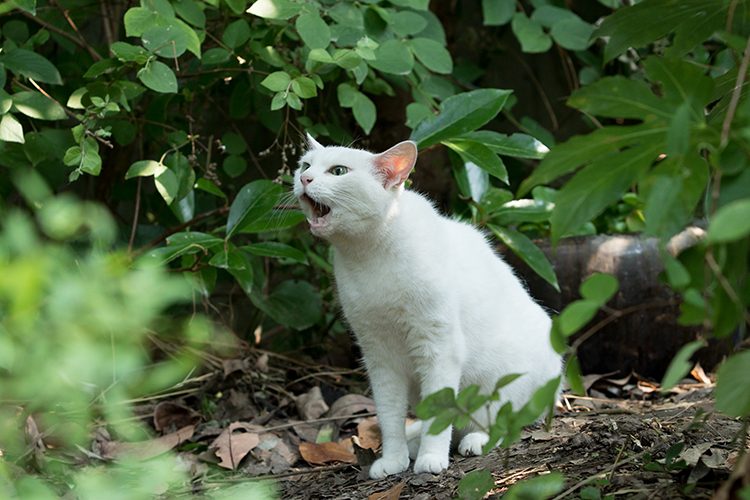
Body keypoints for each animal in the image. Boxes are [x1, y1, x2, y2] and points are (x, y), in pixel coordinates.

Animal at [294, 135, 564, 478]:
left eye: (338, 171)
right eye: (305, 165)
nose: (304, 179)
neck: (369, 255)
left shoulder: (438, 347)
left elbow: (440, 412)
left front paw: (431, 458)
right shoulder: (379, 356)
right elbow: (389, 416)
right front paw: (394, 459)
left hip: (502, 388)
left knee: (496, 425)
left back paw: (474, 441)